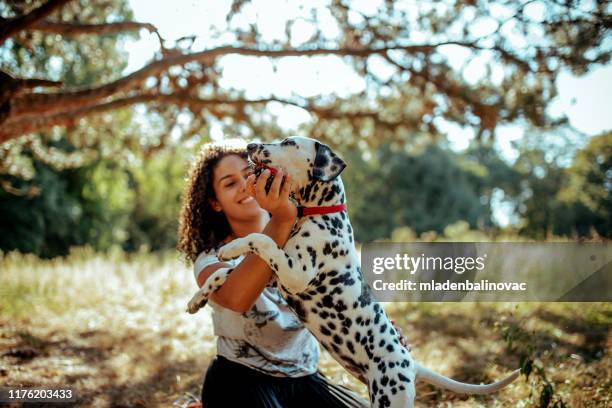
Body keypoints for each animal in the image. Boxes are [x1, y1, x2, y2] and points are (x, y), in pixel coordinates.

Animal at [185, 136, 516, 404]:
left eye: (289, 143)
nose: (250, 145)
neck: (316, 215)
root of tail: (408, 362)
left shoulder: (295, 273)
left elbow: (261, 238)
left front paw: (232, 247)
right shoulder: (274, 277)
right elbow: (224, 273)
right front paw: (198, 298)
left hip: (389, 396)